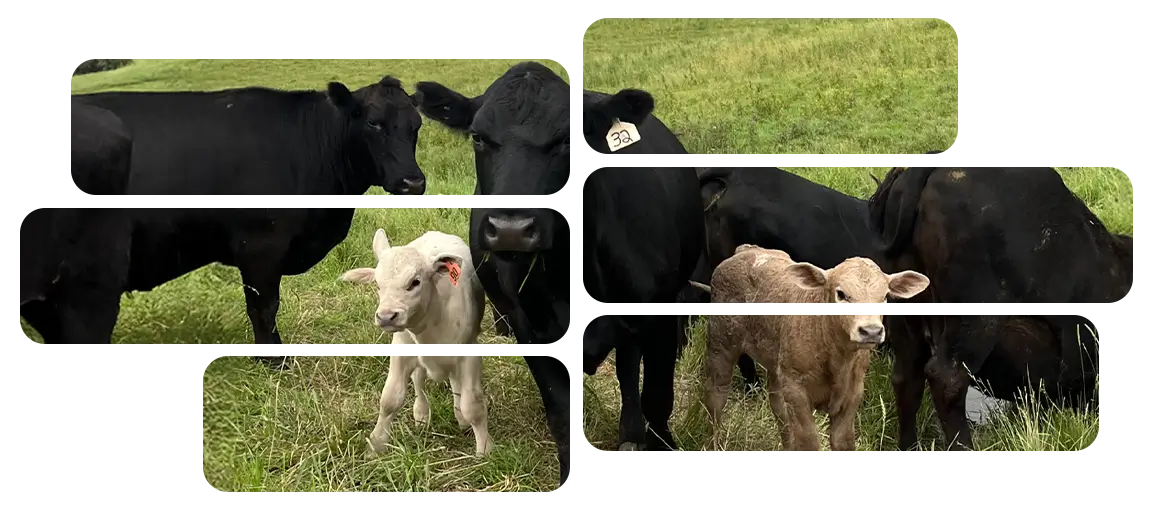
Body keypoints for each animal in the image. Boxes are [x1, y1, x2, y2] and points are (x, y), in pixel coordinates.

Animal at [63, 77, 427, 358]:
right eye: (373, 123)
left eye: (417, 125)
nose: (412, 183)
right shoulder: (260, 244)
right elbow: (263, 308)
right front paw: (274, 360)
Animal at [340, 229, 492, 456]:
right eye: (377, 284)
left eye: (414, 282)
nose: (386, 317)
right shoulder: (400, 352)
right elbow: (390, 399)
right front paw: (376, 444)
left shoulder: (469, 355)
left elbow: (472, 405)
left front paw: (485, 449)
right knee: (419, 380)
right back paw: (421, 414)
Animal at [414, 61, 705, 484]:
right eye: (479, 137)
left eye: (567, 138)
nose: (511, 229)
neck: (575, 277)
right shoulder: (529, 330)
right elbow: (564, 415)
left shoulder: (662, 315)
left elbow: (657, 400)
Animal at [692, 244, 928, 454]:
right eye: (841, 294)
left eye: (884, 296)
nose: (871, 331)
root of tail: (745, 251)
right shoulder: (797, 389)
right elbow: (808, 442)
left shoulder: (853, 392)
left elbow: (843, 442)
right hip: (721, 343)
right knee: (716, 394)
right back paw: (713, 447)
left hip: (776, 361)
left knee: (777, 403)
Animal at [867, 151, 1136, 452]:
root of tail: (940, 158)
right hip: (977, 317)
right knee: (946, 379)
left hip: (907, 317)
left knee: (907, 378)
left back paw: (909, 448)